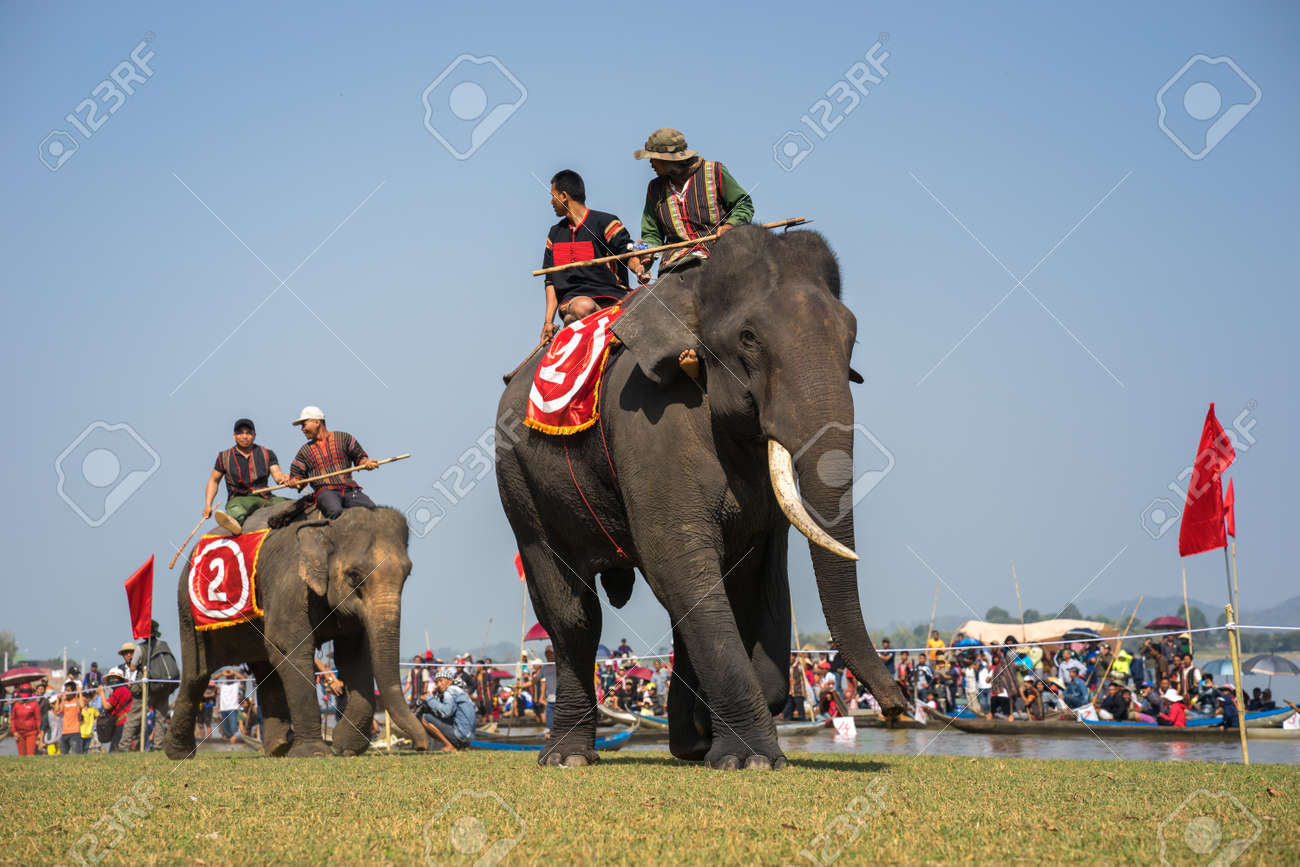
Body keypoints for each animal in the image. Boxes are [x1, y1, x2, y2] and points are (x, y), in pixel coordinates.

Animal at [163, 503, 429, 758]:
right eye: (354, 575)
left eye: (407, 574)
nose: (421, 746)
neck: (327, 525)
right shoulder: (288, 584)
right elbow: (291, 648)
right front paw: (315, 753)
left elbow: (353, 657)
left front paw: (346, 748)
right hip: (187, 609)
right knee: (197, 674)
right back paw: (179, 754)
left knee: (265, 669)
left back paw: (278, 747)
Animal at [495, 225, 908, 769]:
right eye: (749, 338)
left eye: (851, 337)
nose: (897, 708)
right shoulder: (649, 420)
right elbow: (679, 559)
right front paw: (752, 760)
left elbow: (756, 576)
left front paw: (715, 739)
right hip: (518, 484)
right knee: (571, 614)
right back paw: (568, 758)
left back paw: (686, 744)